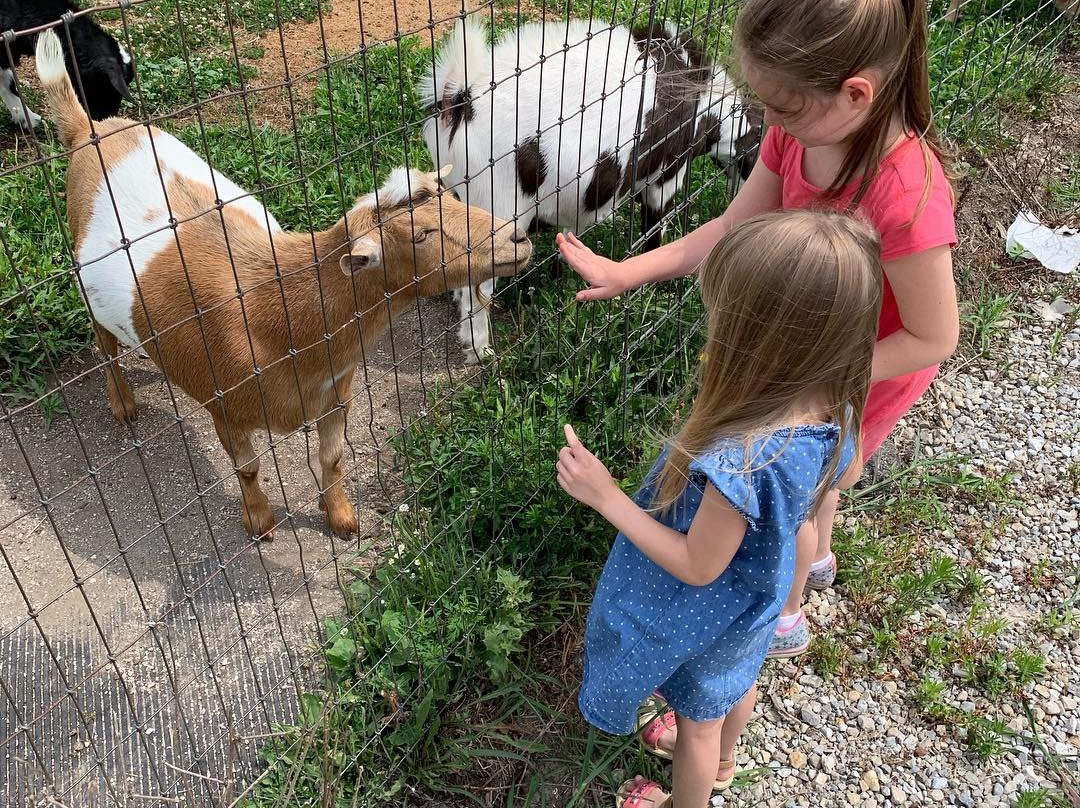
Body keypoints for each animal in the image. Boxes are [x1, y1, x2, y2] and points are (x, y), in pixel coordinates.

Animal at [35, 28, 533, 540]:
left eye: (450, 200)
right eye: (422, 234)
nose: (518, 239)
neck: (279, 315)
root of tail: (89, 131)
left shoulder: (337, 392)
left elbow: (332, 458)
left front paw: (342, 519)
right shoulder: (225, 410)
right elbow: (248, 469)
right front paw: (260, 522)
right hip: (86, 285)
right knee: (105, 345)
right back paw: (123, 405)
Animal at [416, 14, 764, 362]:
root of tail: (460, 99)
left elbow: (571, 234)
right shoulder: (666, 175)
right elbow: (654, 229)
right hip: (497, 213)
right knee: (477, 292)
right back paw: (482, 353)